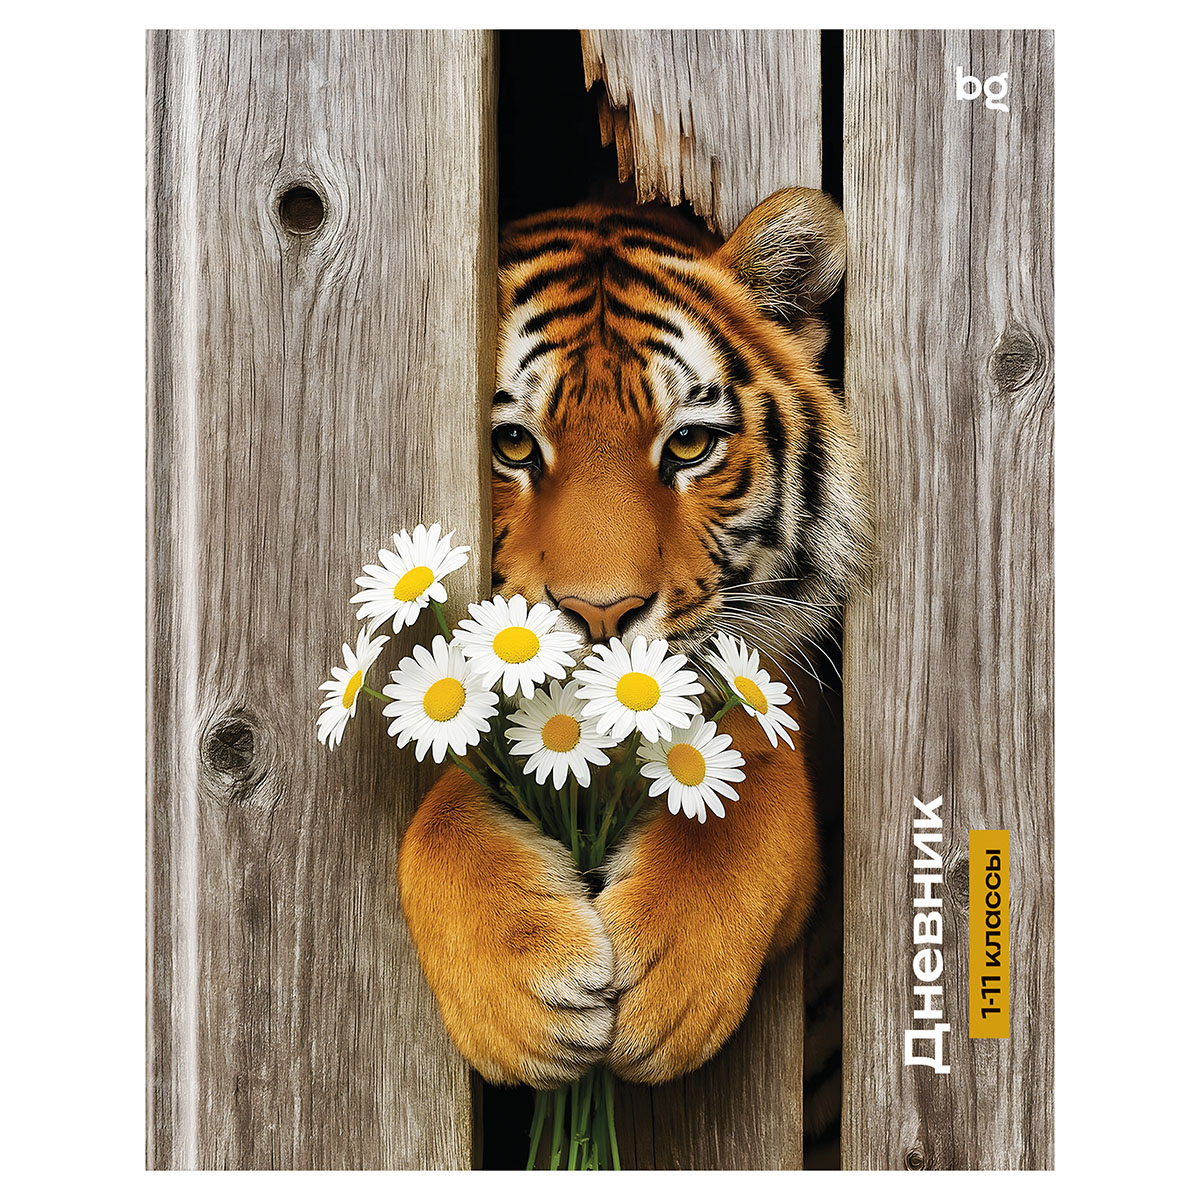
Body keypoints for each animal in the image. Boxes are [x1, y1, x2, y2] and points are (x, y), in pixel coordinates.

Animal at [398, 188, 872, 1134]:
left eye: (688, 446)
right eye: (512, 445)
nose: (601, 611)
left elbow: (745, 759)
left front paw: (673, 969)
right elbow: (445, 801)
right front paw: (523, 987)